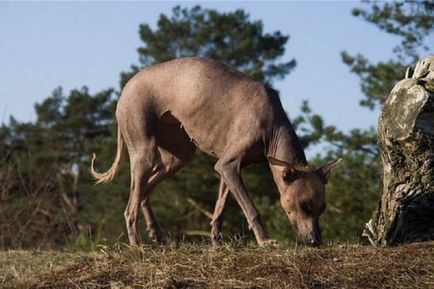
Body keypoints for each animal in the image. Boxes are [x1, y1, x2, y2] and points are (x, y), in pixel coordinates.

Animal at [91, 56, 340, 245]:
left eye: (322, 209)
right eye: (304, 205)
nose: (315, 242)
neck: (274, 125)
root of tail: (127, 86)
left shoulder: (227, 169)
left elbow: (220, 208)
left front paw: (216, 241)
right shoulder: (228, 166)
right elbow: (251, 210)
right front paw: (264, 240)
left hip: (179, 157)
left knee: (143, 193)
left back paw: (157, 236)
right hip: (144, 151)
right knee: (130, 207)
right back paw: (137, 244)